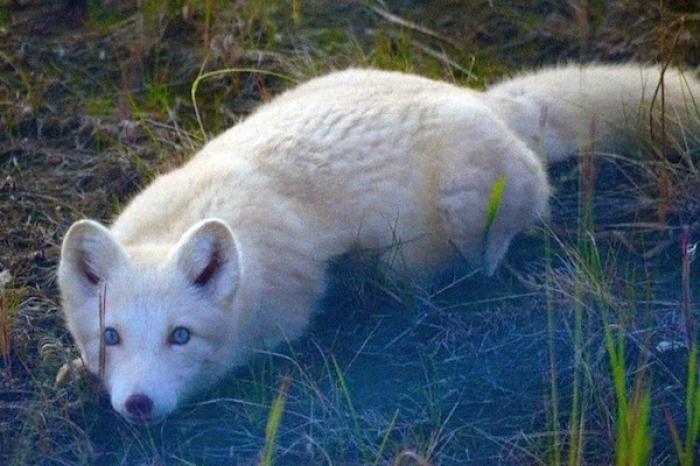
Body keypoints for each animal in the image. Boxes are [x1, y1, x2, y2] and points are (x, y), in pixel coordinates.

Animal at [57, 62, 696, 418]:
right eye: (110, 336)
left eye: (181, 336)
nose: (137, 406)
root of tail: (482, 99)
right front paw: (74, 371)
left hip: (470, 206)